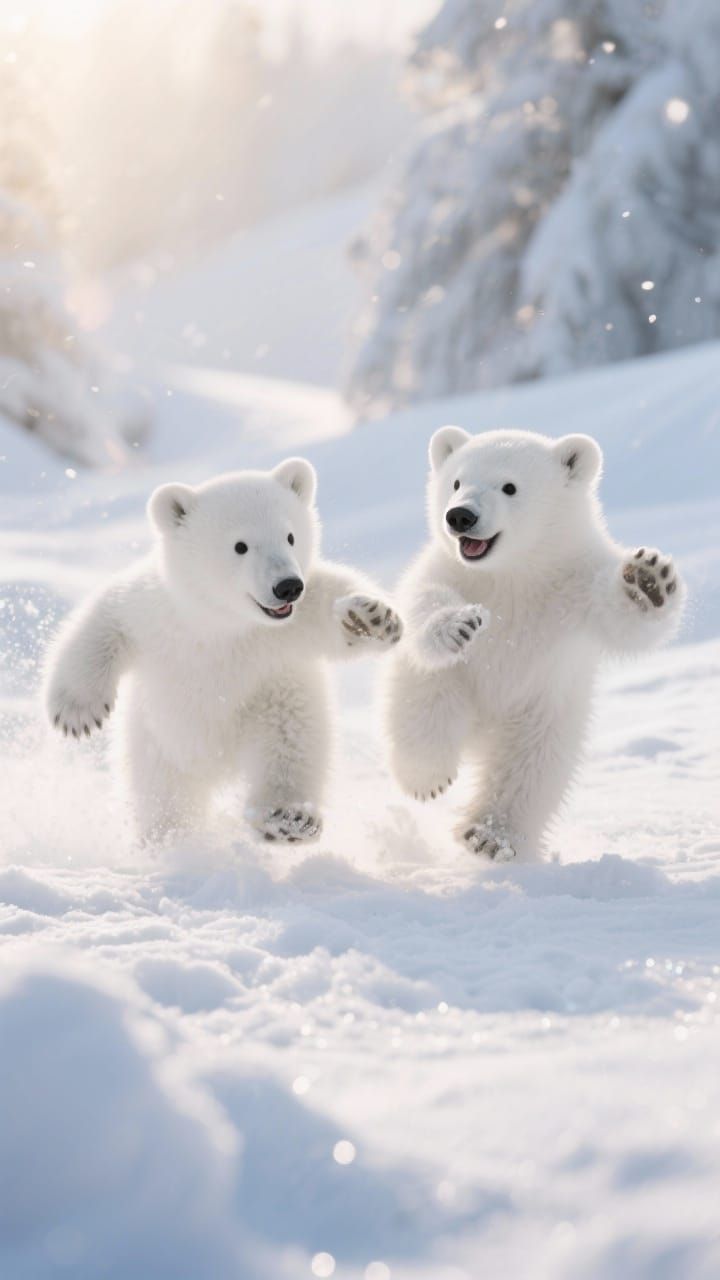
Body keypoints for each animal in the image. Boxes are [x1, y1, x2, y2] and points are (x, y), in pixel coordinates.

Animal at [45, 458, 402, 843]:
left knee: (290, 746)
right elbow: (106, 620)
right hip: (157, 745)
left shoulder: (287, 632)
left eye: (290, 536)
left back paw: (287, 817)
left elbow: (331, 605)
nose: (287, 586)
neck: (224, 622)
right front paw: (76, 713)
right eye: (240, 546)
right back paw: (172, 841)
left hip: (273, 703)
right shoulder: (160, 611)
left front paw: (371, 618)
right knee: (163, 798)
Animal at [384, 426, 685, 862]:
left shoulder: (573, 584)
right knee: (426, 707)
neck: (514, 572)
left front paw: (648, 582)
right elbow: (424, 602)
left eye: (509, 486)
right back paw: (428, 777)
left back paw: (490, 834)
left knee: (530, 769)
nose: (460, 516)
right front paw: (459, 625)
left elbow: (624, 621)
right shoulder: (450, 572)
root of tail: (480, 737)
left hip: (543, 711)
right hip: (447, 684)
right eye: (456, 481)